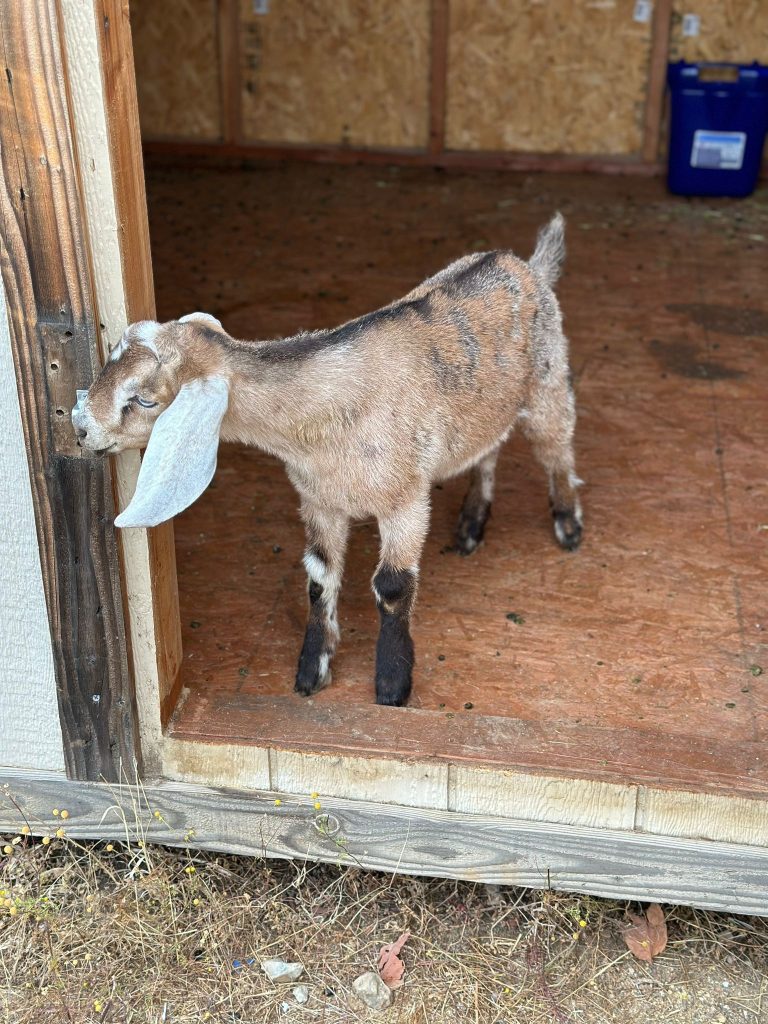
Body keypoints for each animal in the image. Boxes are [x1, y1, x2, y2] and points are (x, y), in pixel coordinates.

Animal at [72, 213, 582, 706]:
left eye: (144, 400)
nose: (79, 424)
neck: (316, 425)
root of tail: (526, 264)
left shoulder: (405, 500)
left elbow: (392, 586)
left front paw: (392, 686)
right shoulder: (319, 500)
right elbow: (319, 580)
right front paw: (311, 671)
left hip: (548, 381)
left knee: (556, 449)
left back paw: (568, 525)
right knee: (489, 447)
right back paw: (472, 524)